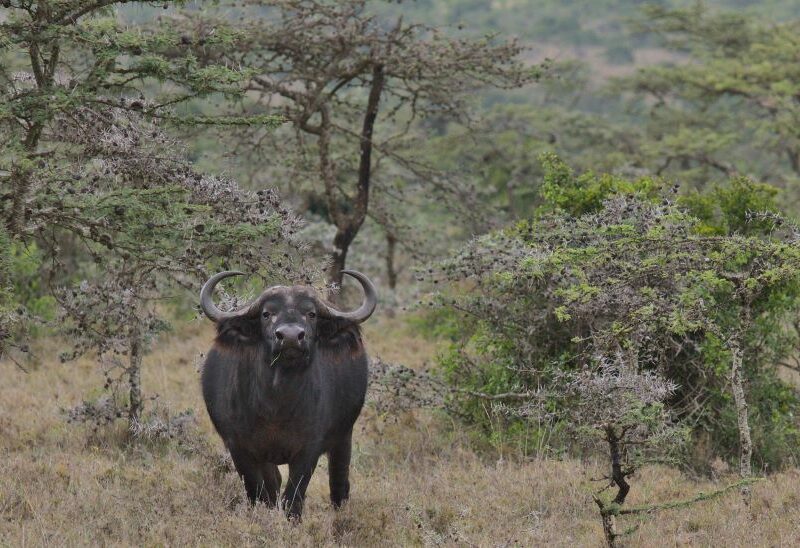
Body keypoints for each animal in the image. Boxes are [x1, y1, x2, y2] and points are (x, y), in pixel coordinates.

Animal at [199, 270, 376, 519]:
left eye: (311, 313)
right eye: (266, 314)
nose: (291, 337)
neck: (276, 403)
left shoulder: (308, 450)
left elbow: (293, 498)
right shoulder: (240, 449)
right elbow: (258, 493)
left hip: (344, 436)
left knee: (339, 482)